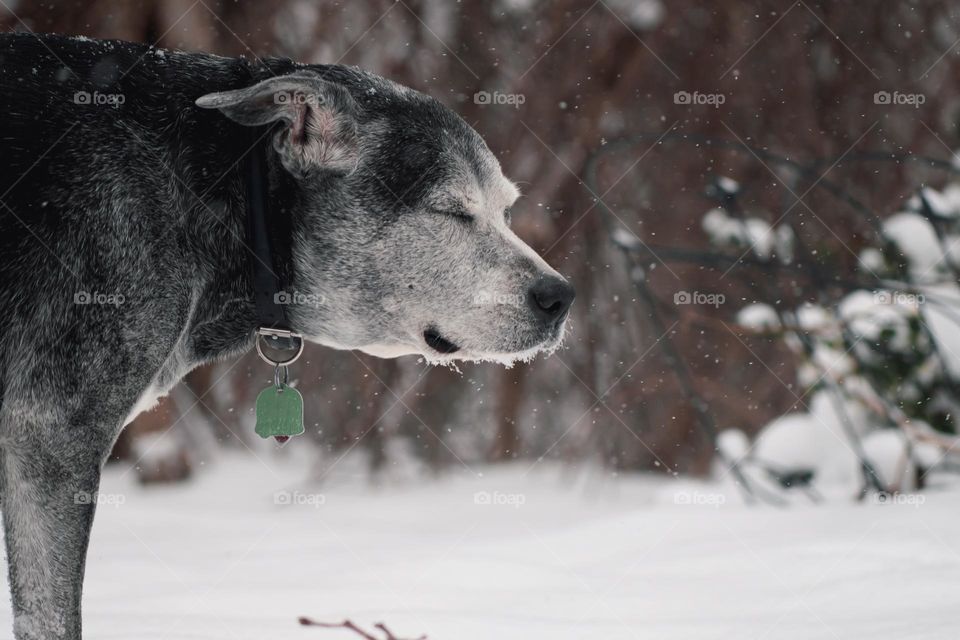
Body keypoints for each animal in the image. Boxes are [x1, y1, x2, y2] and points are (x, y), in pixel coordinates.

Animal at [0, 32, 572, 636]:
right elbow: (51, 615)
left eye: (506, 212)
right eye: (452, 212)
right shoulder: (50, 438)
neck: (231, 187)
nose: (560, 297)